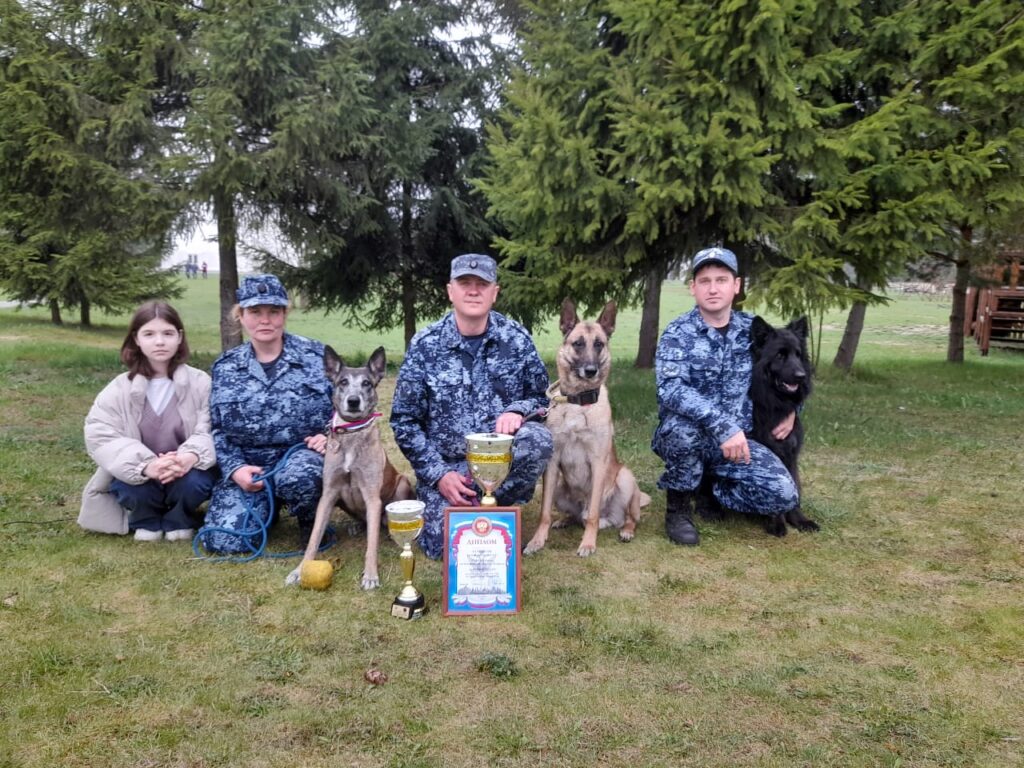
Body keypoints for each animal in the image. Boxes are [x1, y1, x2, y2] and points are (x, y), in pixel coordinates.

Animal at [286, 346, 413, 593]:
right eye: (343, 382)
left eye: (367, 383)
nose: (353, 401)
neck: (352, 433)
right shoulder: (328, 494)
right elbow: (314, 538)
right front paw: (299, 570)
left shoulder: (372, 497)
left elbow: (371, 544)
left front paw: (371, 575)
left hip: (402, 483)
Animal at [524, 296, 651, 557]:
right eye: (578, 344)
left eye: (599, 344)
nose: (591, 370)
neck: (578, 402)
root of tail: (611, 519)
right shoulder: (552, 464)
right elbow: (544, 512)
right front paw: (538, 541)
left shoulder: (598, 462)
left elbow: (592, 514)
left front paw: (588, 544)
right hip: (559, 487)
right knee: (576, 516)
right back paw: (564, 520)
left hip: (625, 479)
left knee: (626, 518)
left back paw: (626, 531)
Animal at [753, 315, 823, 536]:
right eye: (780, 355)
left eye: (798, 355)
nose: (801, 376)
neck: (776, 405)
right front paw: (776, 522)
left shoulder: (791, 454)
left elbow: (794, 491)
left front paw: (799, 520)